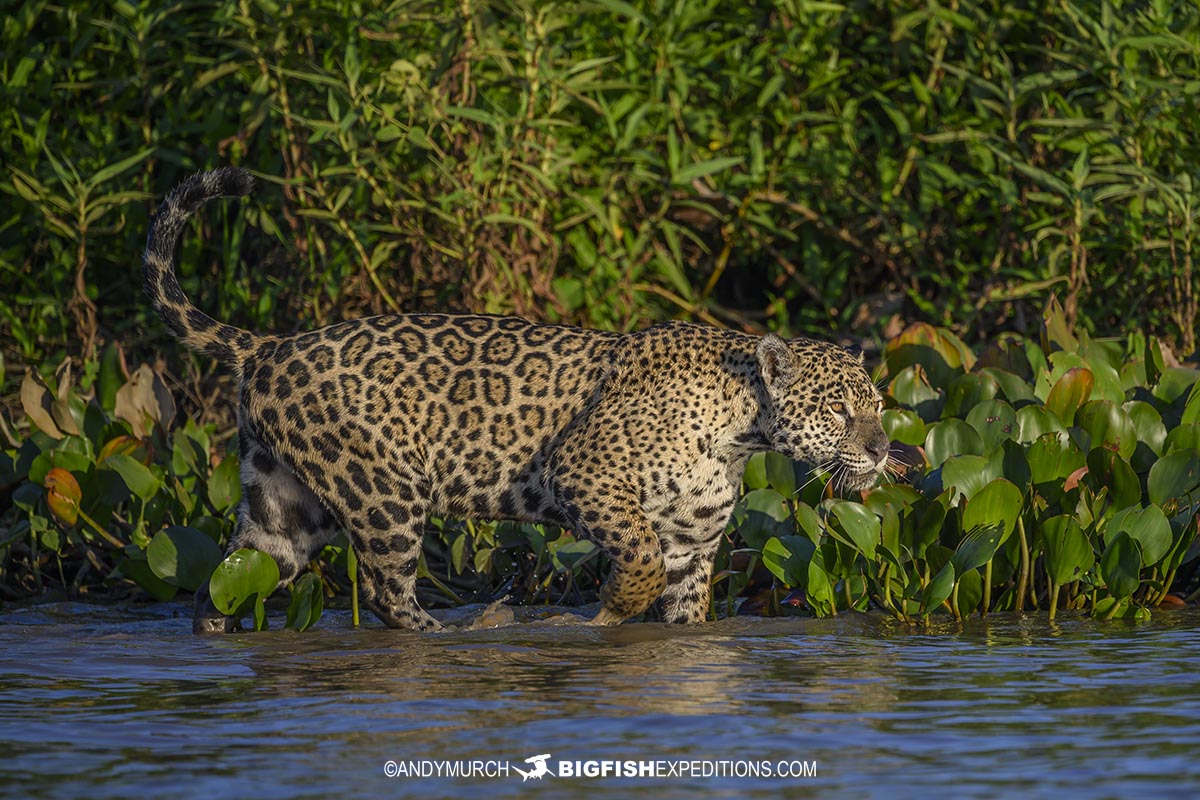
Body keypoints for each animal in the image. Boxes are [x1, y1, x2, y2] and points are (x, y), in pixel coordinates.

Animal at [141, 167, 891, 633]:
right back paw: (455, 633)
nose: (884, 451)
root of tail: (268, 346)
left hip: (283, 507)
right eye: (836, 409)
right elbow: (639, 556)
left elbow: (684, 613)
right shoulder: (586, 473)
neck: (740, 432)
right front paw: (609, 608)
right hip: (385, 489)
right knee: (385, 589)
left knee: (225, 579)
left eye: (878, 406)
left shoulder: (696, 544)